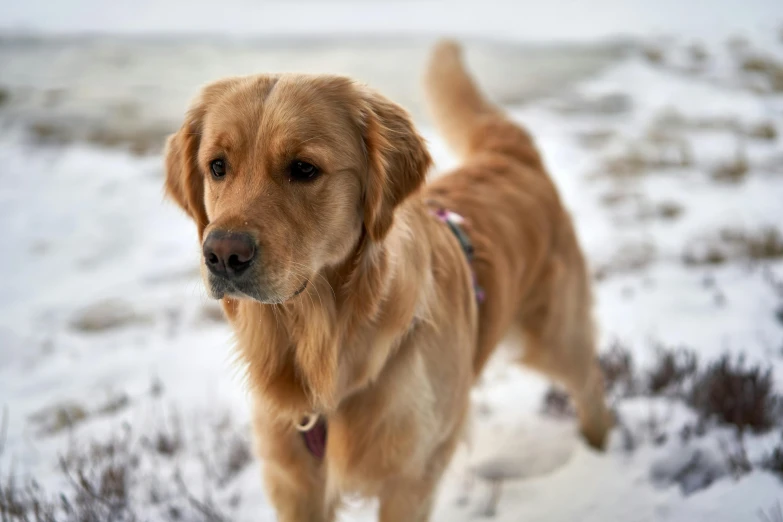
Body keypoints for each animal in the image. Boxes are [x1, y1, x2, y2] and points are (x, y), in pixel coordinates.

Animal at [165, 38, 612, 516]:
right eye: (217, 166)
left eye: (303, 168)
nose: (223, 254)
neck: (322, 349)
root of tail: (510, 152)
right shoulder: (293, 482)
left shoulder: (411, 479)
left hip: (554, 336)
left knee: (591, 381)